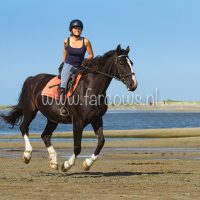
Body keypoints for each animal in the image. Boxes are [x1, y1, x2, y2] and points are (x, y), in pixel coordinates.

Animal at [0, 45, 138, 172]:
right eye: (121, 62)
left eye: (131, 63)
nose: (133, 85)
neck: (91, 89)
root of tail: (32, 79)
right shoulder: (78, 122)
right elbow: (77, 147)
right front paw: (67, 165)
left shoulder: (97, 119)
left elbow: (101, 141)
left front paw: (87, 163)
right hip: (30, 111)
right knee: (24, 128)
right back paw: (27, 155)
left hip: (53, 118)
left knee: (45, 135)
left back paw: (53, 161)